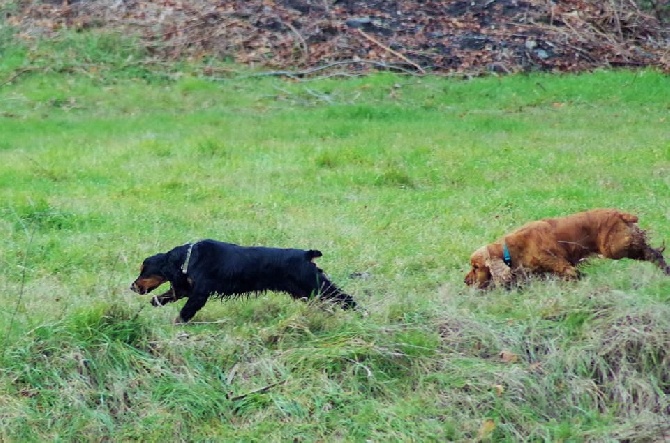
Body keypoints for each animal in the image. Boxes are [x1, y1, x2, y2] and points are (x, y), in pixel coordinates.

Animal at [129, 239, 356, 322]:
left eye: (144, 270)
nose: (132, 286)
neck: (189, 257)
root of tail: (306, 255)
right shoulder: (188, 287)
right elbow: (172, 294)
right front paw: (156, 301)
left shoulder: (199, 293)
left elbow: (185, 312)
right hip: (307, 292)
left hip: (315, 285)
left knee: (346, 298)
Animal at [468, 210, 670, 290]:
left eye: (475, 267)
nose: (466, 281)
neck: (510, 248)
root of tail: (620, 214)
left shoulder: (561, 265)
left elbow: (573, 274)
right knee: (650, 253)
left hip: (615, 248)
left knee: (647, 249)